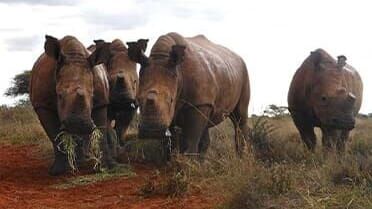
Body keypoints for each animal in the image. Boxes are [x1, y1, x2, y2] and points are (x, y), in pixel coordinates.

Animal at [29, 35, 116, 176]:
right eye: (59, 95)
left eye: (92, 95)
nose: (78, 124)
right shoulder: (42, 105)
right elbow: (55, 136)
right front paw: (57, 171)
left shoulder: (101, 102)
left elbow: (101, 132)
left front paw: (106, 167)